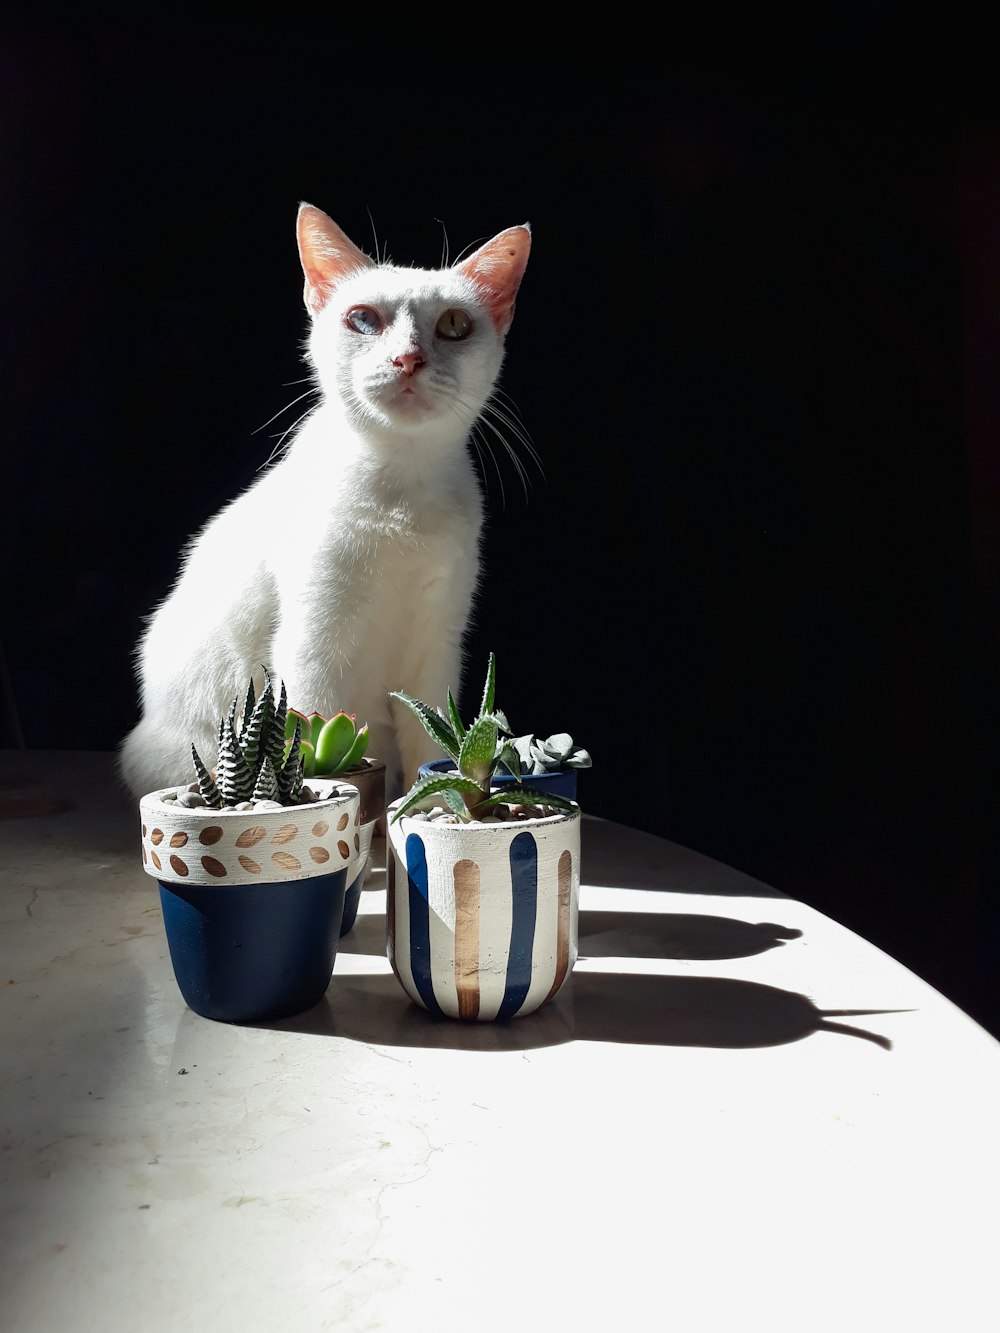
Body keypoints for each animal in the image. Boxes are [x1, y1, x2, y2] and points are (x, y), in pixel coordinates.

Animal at [119, 199, 533, 799]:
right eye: (363, 319)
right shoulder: (313, 647)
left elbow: (434, 749)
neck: (399, 494)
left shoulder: (436, 650)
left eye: (454, 325)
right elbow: (312, 733)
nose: (408, 359)